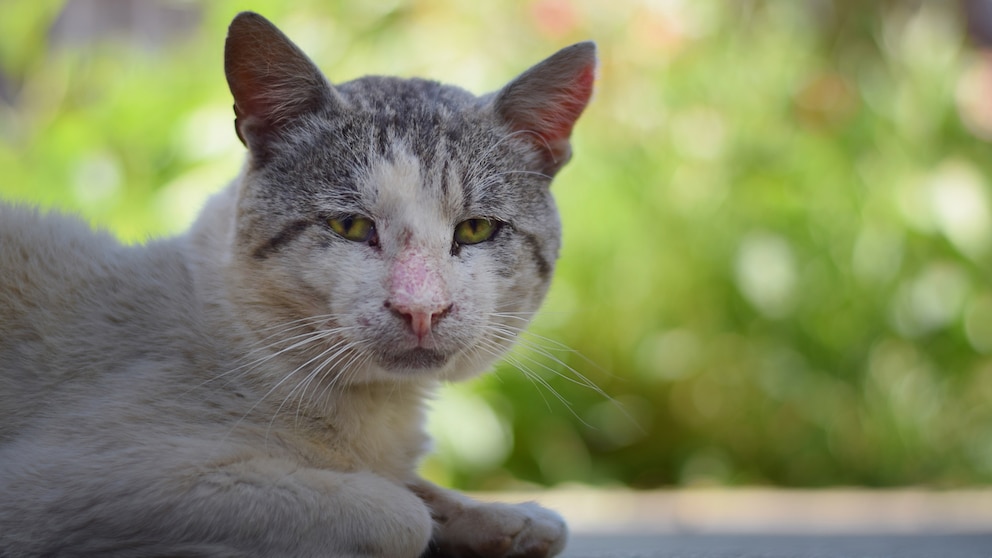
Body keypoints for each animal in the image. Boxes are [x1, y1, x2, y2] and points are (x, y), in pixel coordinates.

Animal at [0, 12, 592, 558]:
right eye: (350, 226)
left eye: (475, 230)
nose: (421, 308)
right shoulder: (73, 481)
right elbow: (398, 513)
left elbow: (426, 490)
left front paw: (510, 519)